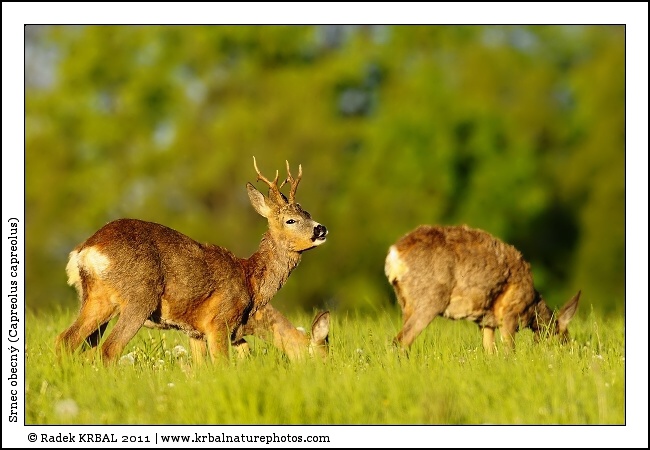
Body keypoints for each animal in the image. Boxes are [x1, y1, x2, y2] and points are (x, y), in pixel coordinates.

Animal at [55, 157, 328, 364]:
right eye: (291, 220)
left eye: (308, 213)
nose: (321, 229)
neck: (251, 282)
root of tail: (87, 249)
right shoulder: (219, 322)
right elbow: (222, 365)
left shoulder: (195, 332)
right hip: (139, 297)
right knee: (108, 349)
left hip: (96, 298)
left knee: (67, 341)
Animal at [385, 224, 580, 354]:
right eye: (563, 340)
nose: (568, 354)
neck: (531, 306)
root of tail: (394, 255)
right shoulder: (508, 313)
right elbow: (509, 351)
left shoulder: (486, 322)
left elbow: (490, 352)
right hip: (429, 300)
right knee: (401, 341)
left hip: (406, 303)